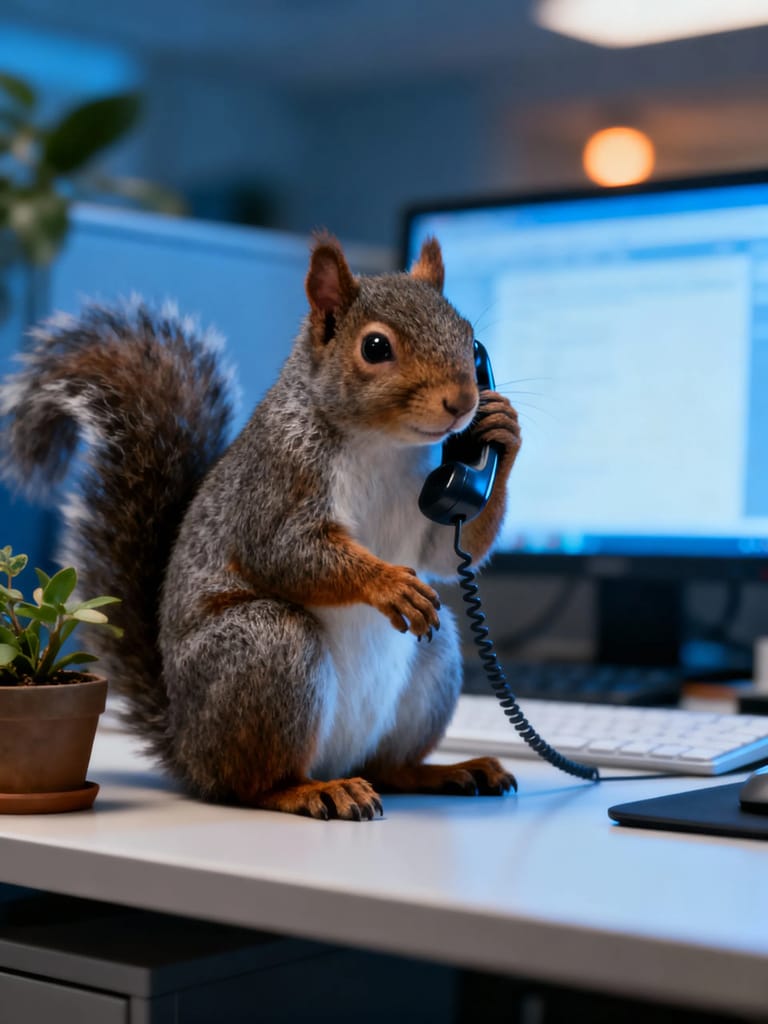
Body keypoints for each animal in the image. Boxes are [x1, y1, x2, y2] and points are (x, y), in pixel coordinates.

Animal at [0, 234, 522, 820]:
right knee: (252, 784)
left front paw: (504, 429)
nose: (465, 402)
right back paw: (314, 790)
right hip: (270, 650)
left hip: (433, 654)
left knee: (391, 767)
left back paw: (450, 770)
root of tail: (187, 748)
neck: (382, 444)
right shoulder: (274, 484)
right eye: (375, 347)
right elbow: (284, 553)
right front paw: (388, 584)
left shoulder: (433, 503)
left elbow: (446, 555)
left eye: (469, 338)